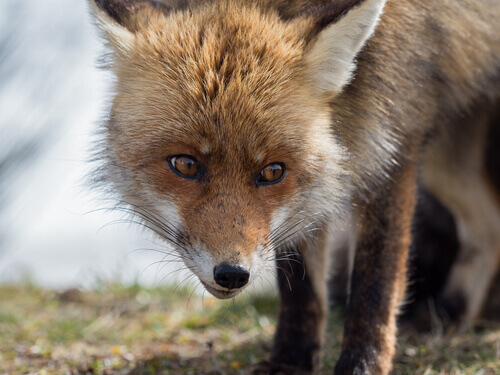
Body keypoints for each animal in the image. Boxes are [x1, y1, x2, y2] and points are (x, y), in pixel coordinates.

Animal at [90, 0, 500, 374]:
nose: (232, 274)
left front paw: (362, 366)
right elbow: (300, 284)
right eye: (186, 164)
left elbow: (375, 286)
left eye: (272, 171)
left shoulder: (395, 132)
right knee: (486, 225)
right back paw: (448, 314)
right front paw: (291, 362)